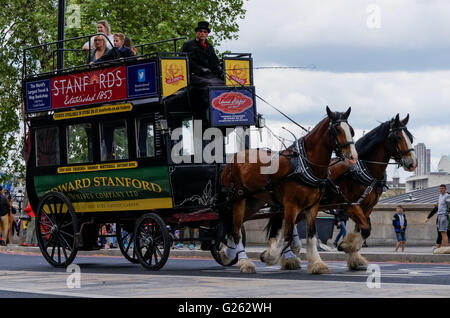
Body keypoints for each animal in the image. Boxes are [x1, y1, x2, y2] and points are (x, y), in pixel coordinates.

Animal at [219, 107, 358, 274]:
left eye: (351, 130)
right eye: (337, 130)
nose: (353, 157)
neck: (304, 165)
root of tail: (232, 159)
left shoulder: (312, 207)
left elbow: (312, 236)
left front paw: (317, 263)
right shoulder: (291, 205)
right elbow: (287, 236)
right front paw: (269, 256)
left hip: (253, 201)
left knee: (234, 226)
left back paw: (227, 253)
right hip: (238, 198)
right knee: (236, 230)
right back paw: (244, 262)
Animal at [266, 113, 416, 270]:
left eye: (410, 137)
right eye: (397, 137)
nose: (412, 163)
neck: (362, 169)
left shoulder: (367, 206)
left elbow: (362, 229)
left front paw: (354, 256)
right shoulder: (350, 205)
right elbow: (365, 228)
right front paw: (346, 246)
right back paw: (286, 256)